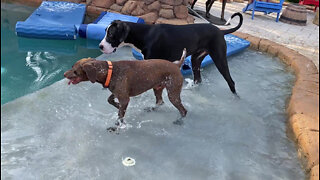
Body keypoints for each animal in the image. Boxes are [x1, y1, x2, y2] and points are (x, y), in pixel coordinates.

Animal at [100, 12, 242, 94]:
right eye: (105, 32)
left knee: (231, 81)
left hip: (219, 59)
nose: (100, 46)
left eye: (111, 34)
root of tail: (220, 31)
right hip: (196, 61)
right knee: (198, 78)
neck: (145, 34)